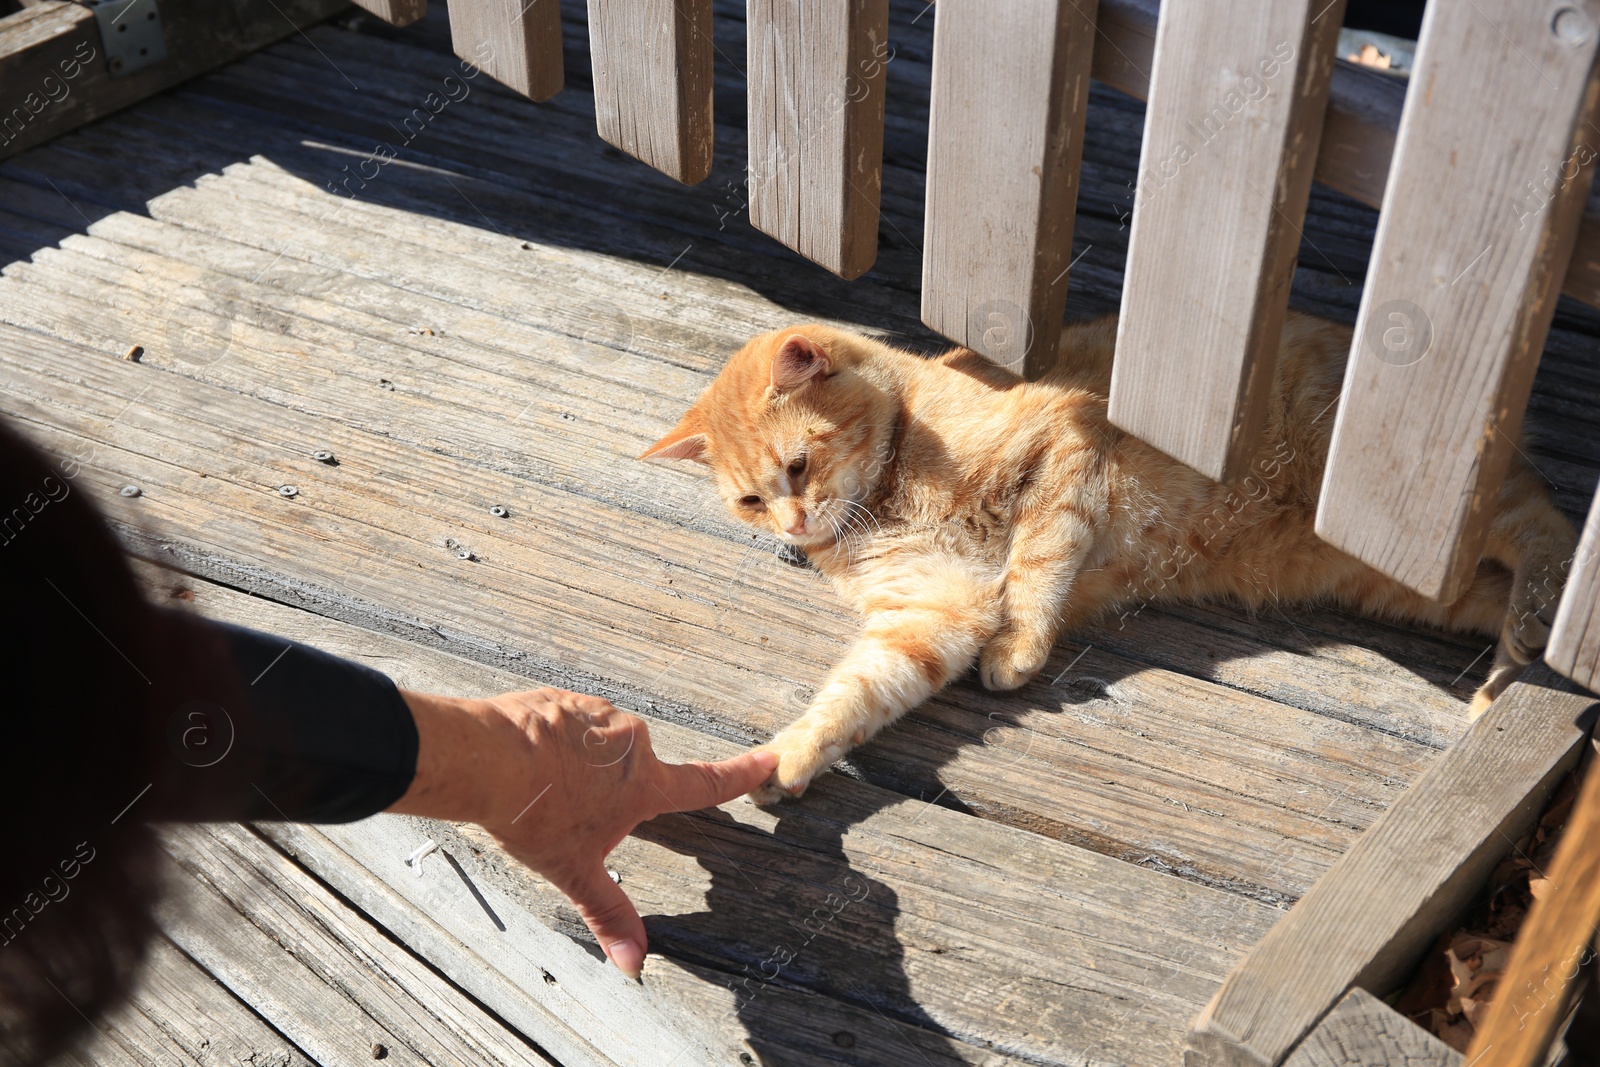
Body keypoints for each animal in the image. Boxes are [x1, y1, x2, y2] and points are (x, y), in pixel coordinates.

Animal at [636, 313, 1574, 806]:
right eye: (749, 500)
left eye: (796, 467)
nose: (794, 525)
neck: (895, 485)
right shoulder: (930, 611)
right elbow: (860, 691)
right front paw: (788, 758)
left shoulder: (1069, 449)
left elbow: (1038, 561)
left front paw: (1017, 651)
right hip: (1406, 585)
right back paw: (1508, 672)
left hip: (1418, 517)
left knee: (1547, 526)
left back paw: (1536, 623)